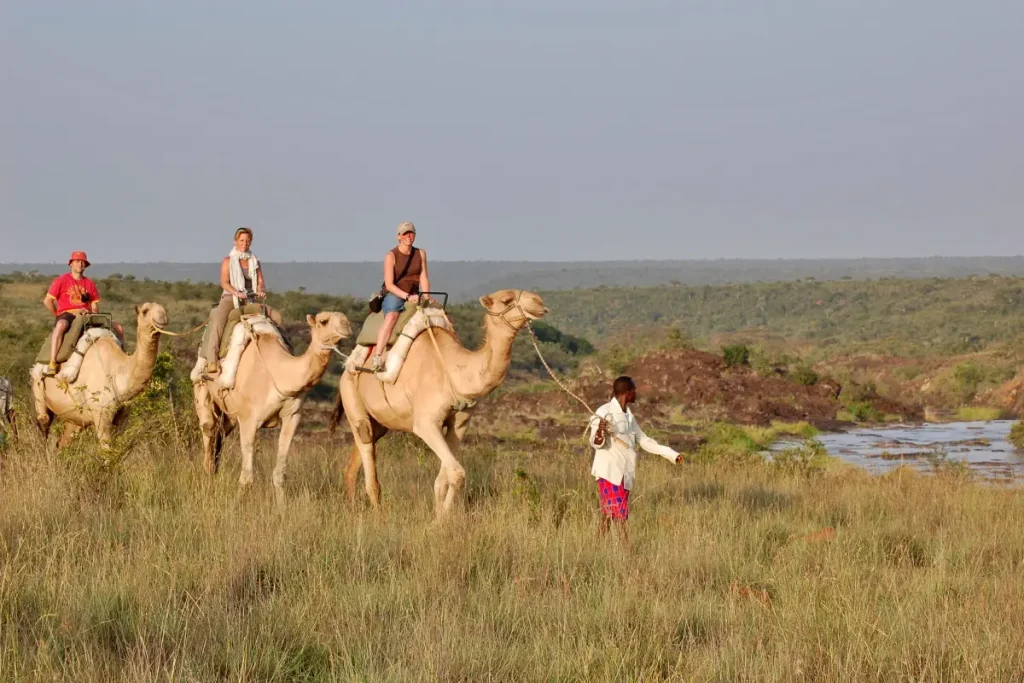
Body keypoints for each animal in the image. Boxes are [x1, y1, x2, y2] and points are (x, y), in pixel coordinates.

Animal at [31, 303, 169, 449]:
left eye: (164, 309)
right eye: (145, 311)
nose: (162, 316)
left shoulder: (123, 417)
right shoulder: (101, 413)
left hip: (74, 418)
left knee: (62, 441)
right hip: (39, 393)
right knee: (44, 422)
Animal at [192, 311, 351, 504]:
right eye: (323, 321)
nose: (347, 325)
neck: (279, 375)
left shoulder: (292, 416)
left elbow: (279, 474)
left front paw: (282, 507)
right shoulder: (248, 419)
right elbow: (247, 477)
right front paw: (237, 504)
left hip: (228, 415)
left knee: (219, 436)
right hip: (202, 389)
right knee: (208, 431)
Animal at [331, 289, 548, 518]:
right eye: (506, 300)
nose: (539, 302)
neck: (455, 370)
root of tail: (347, 367)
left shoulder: (459, 424)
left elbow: (443, 479)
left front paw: (440, 515)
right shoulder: (426, 423)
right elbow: (457, 473)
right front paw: (441, 520)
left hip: (379, 422)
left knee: (358, 457)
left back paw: (353, 507)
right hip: (352, 398)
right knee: (366, 452)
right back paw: (379, 516)